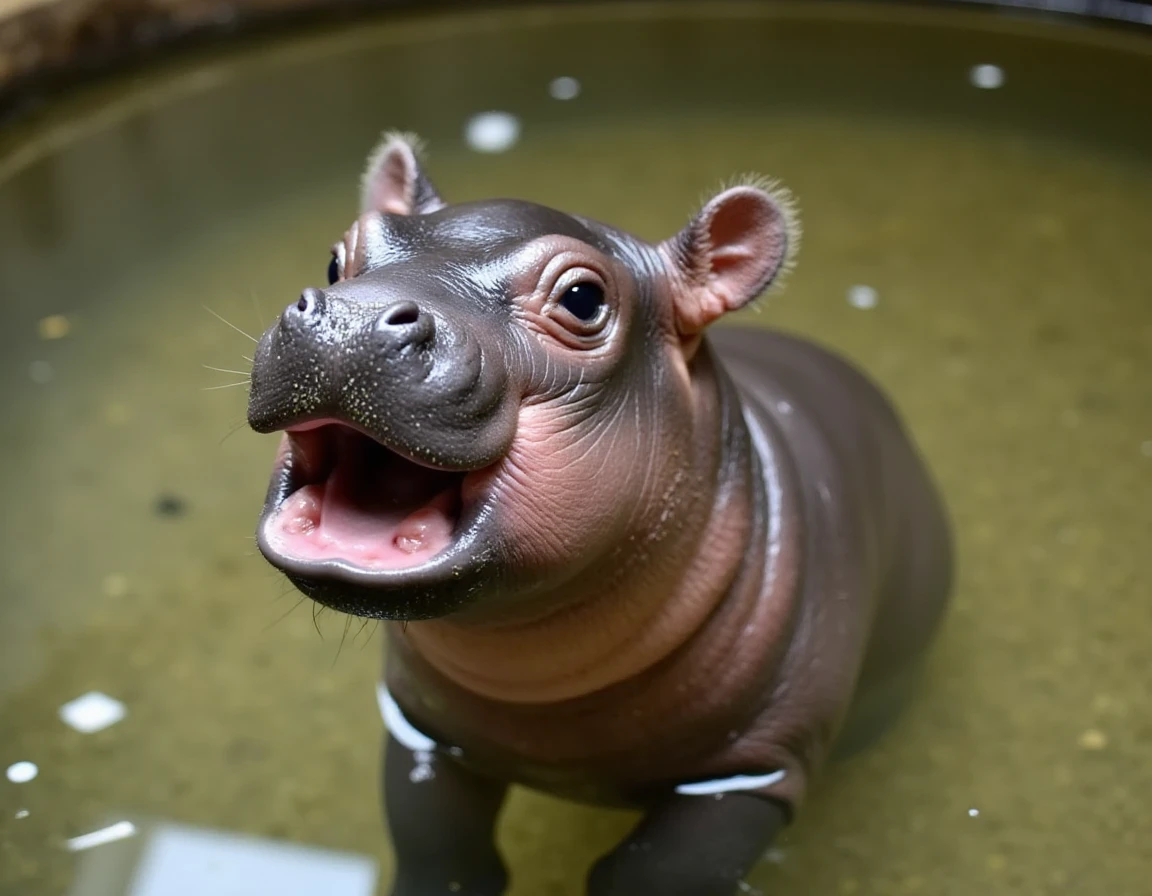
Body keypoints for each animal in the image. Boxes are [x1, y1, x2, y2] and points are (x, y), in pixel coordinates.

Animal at [245, 132, 953, 893]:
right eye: (337, 258)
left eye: (583, 298)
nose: (349, 316)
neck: (538, 672)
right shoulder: (422, 729)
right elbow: (437, 843)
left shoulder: (752, 770)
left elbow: (653, 871)